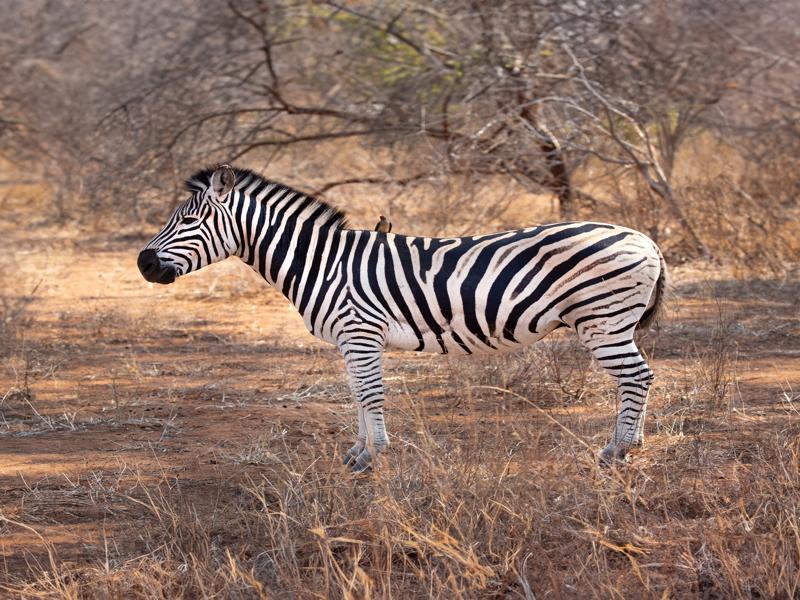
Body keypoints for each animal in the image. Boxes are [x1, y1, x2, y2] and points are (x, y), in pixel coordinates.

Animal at [138, 165, 667, 470]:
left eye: (189, 221)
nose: (143, 264)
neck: (322, 261)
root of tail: (645, 238)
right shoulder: (350, 341)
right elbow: (356, 393)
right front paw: (357, 452)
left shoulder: (360, 331)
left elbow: (371, 393)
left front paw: (372, 456)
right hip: (610, 321)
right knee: (637, 378)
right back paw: (630, 445)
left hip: (603, 320)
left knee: (638, 377)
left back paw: (619, 451)